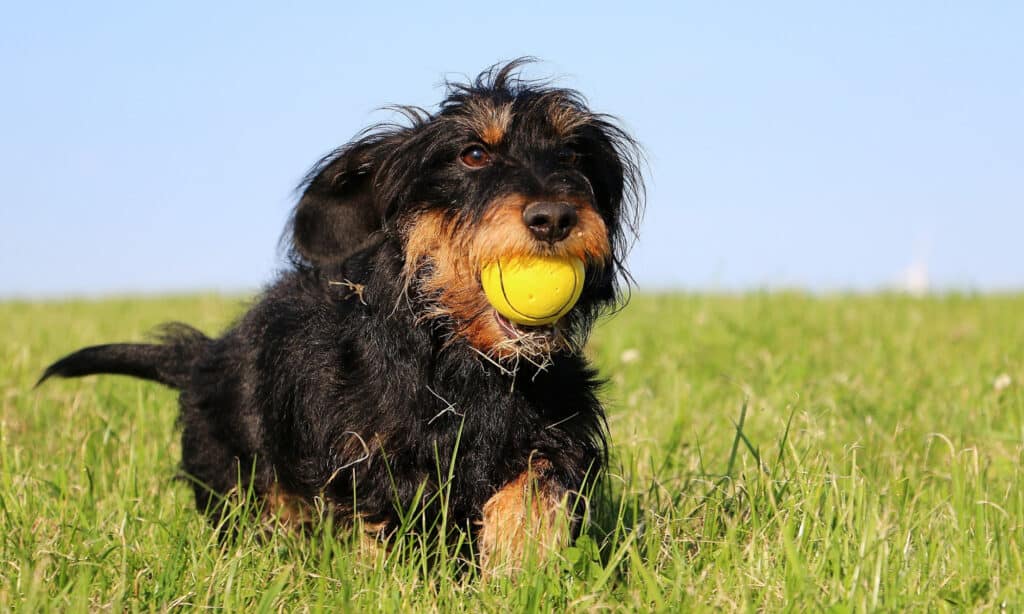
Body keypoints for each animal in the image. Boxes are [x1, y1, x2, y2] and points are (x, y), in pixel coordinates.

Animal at [46, 59, 647, 568]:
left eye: (572, 156)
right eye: (473, 154)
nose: (554, 217)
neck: (467, 363)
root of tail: (205, 357)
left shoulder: (555, 431)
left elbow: (533, 490)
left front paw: (519, 571)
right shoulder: (371, 461)